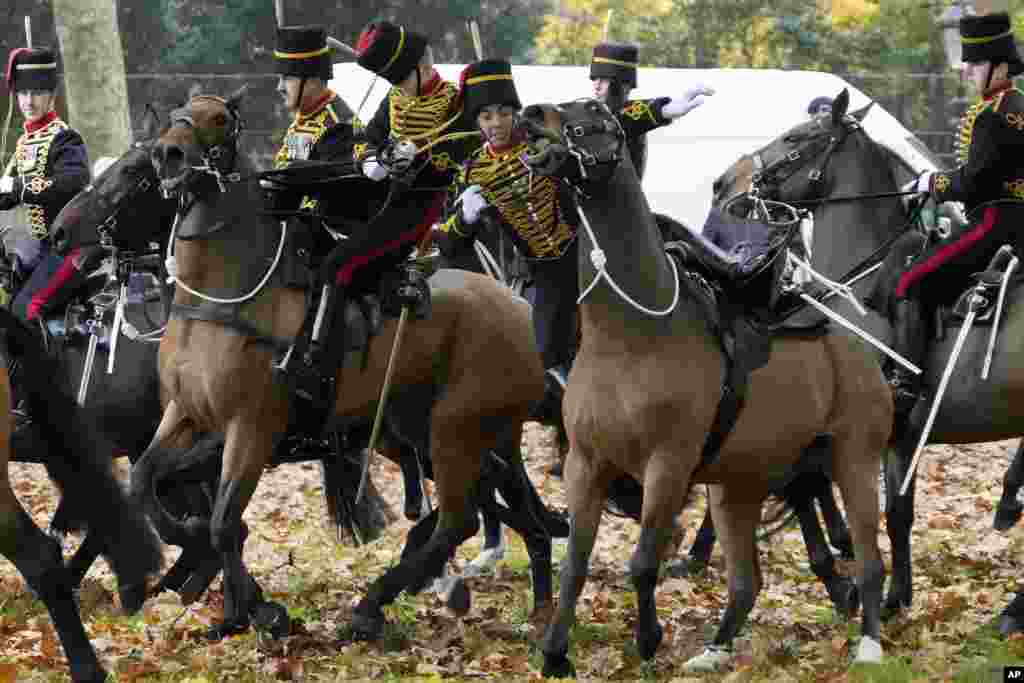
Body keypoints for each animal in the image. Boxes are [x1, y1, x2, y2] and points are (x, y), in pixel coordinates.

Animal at [140, 88, 559, 640]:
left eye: (220, 121)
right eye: (172, 117)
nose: (167, 155)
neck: (225, 294)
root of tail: (519, 308)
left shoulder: (251, 429)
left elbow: (224, 520)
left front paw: (253, 614)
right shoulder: (186, 415)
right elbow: (147, 479)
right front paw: (221, 592)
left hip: (454, 429)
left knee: (460, 518)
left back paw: (375, 604)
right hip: (423, 431)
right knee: (491, 504)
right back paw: (539, 606)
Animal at [516, 98, 891, 676]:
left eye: (594, 113)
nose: (531, 113)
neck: (631, 337)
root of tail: (857, 344)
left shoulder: (667, 469)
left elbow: (643, 562)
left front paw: (649, 639)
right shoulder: (587, 464)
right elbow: (574, 565)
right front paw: (556, 652)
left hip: (854, 462)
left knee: (870, 562)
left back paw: (868, 644)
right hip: (739, 485)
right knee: (746, 582)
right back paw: (714, 651)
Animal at [712, 89, 1024, 634]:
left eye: (796, 137)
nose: (725, 182)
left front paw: (854, 585)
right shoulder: (900, 434)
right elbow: (898, 513)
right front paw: (896, 596)